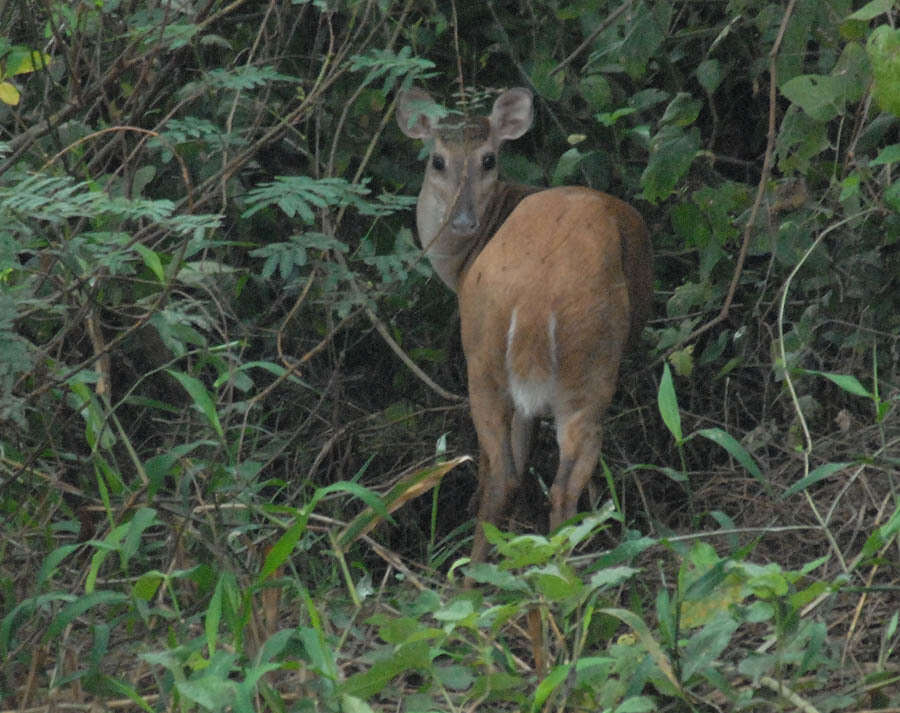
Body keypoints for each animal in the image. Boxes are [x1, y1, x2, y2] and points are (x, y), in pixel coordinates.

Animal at [398, 86, 652, 560]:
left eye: (488, 159)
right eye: (437, 160)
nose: (463, 220)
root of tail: (538, 297)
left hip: (493, 357)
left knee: (507, 472)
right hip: (579, 371)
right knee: (555, 484)